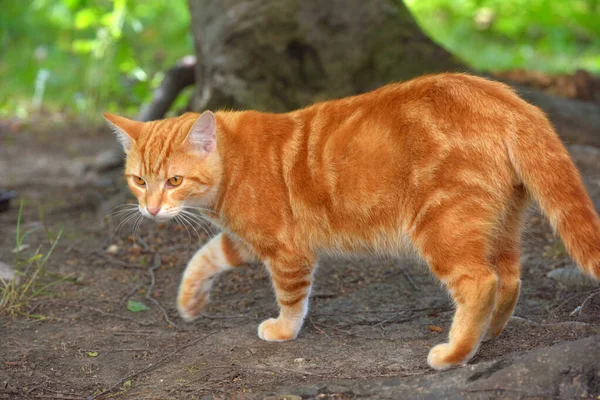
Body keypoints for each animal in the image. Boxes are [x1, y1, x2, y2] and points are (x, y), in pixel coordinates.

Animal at [104, 73, 600, 370]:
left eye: (174, 180)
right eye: (138, 180)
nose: (151, 209)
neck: (233, 161)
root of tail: (509, 99)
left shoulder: (286, 248)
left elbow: (290, 298)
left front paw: (283, 331)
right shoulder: (248, 239)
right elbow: (206, 256)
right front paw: (190, 301)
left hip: (444, 227)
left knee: (481, 282)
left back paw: (454, 352)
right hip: (502, 225)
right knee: (510, 278)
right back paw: (487, 335)